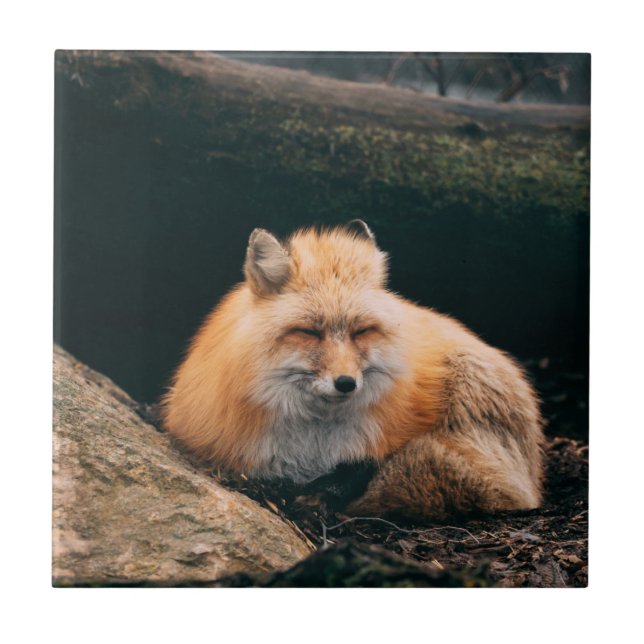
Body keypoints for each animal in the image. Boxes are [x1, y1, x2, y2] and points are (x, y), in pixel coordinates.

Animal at [162, 220, 544, 521]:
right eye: (309, 332)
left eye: (361, 331)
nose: (346, 383)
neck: (313, 445)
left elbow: (361, 468)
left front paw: (325, 493)